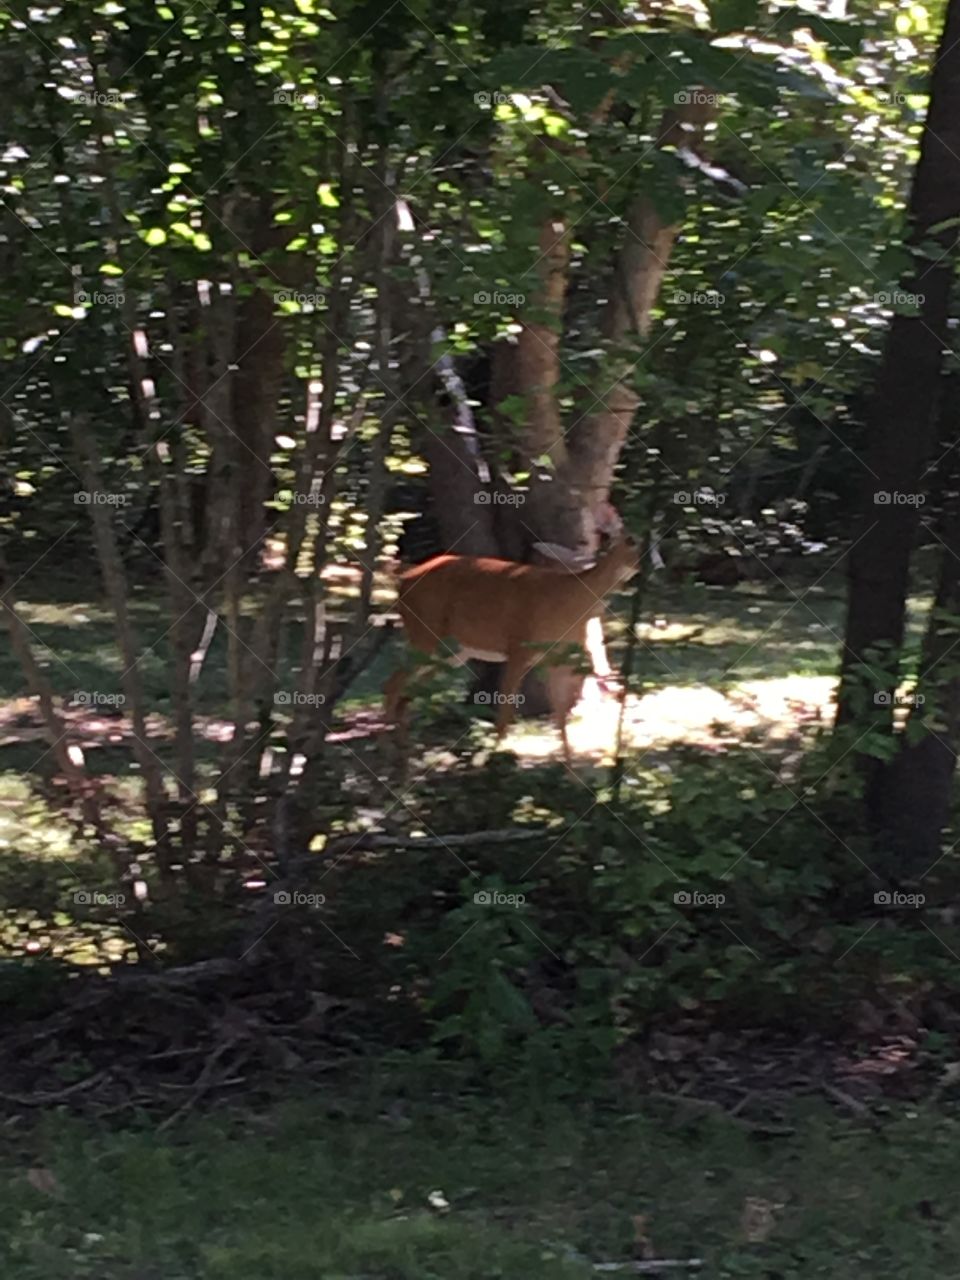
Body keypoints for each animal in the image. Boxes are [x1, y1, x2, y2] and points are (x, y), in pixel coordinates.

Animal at [383, 532, 641, 759]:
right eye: (631, 540)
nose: (643, 565)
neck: (569, 599)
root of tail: (402, 581)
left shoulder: (554, 658)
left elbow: (560, 715)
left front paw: (569, 769)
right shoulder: (518, 647)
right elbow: (506, 711)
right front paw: (494, 759)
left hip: (451, 652)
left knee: (407, 692)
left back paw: (403, 748)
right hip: (424, 633)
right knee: (394, 682)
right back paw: (386, 747)